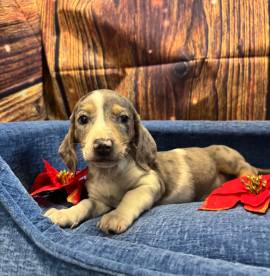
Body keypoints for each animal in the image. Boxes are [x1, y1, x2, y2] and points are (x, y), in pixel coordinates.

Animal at [45, 89, 258, 234]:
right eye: (82, 119)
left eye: (123, 118)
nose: (103, 145)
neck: (110, 173)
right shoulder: (100, 201)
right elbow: (85, 204)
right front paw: (65, 214)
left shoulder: (150, 183)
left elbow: (129, 196)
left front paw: (115, 216)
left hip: (226, 156)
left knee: (248, 168)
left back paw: (245, 182)